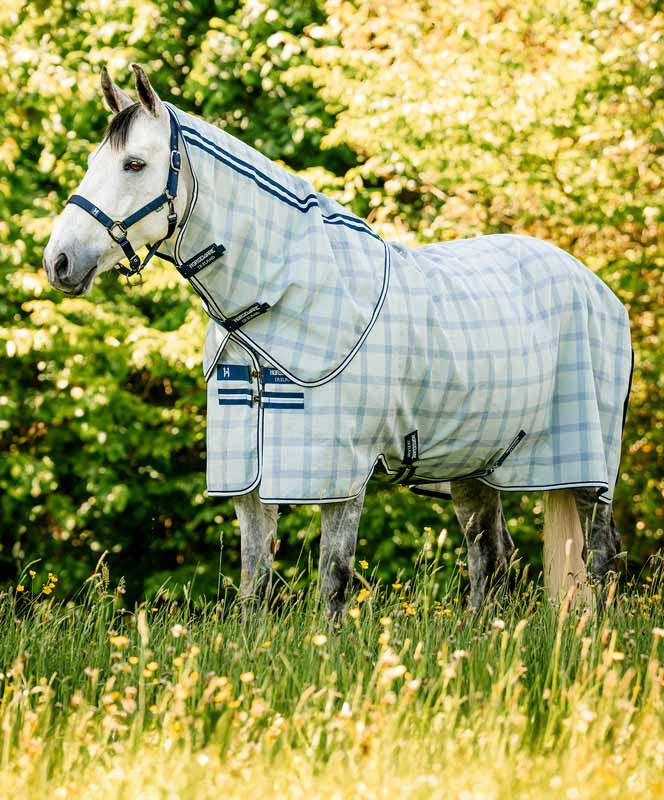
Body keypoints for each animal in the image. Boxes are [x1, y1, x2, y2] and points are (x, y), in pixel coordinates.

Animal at [43, 65, 632, 614]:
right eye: (95, 162)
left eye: (134, 164)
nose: (59, 262)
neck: (276, 303)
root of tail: (599, 289)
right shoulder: (248, 480)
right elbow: (253, 584)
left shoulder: (340, 474)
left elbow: (333, 580)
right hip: (477, 465)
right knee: (490, 556)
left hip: (588, 470)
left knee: (599, 556)